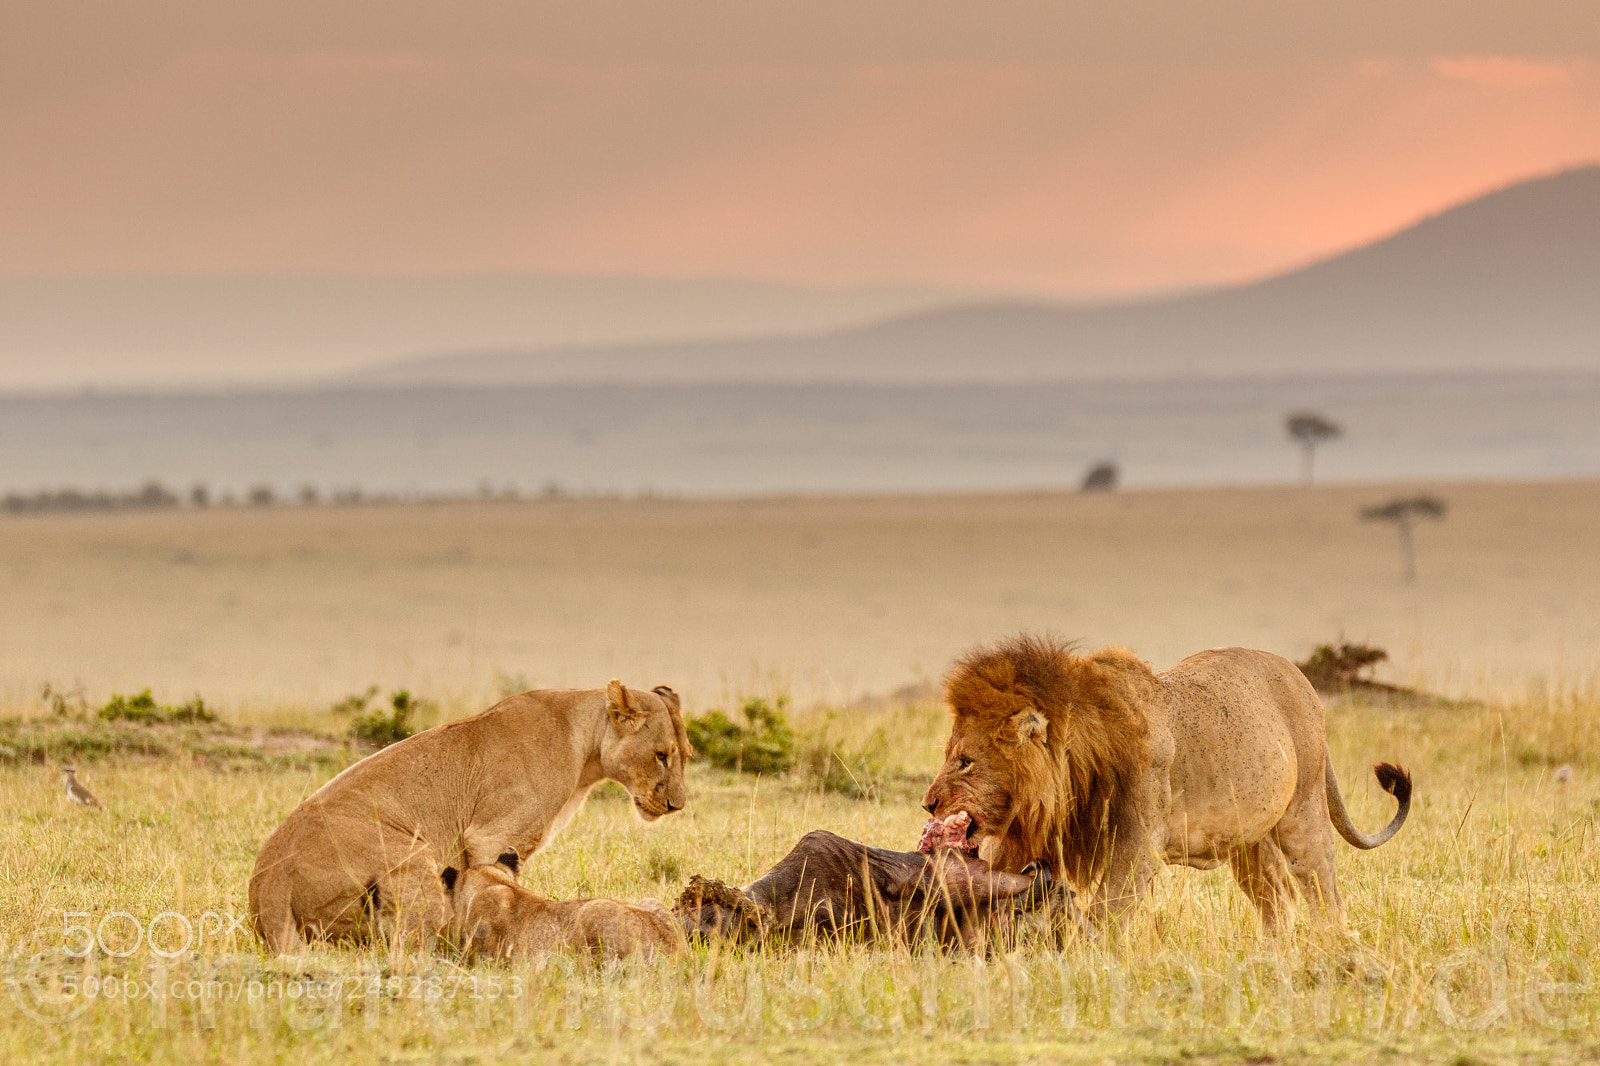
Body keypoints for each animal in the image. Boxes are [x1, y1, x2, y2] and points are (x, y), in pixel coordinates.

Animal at [921, 636, 1411, 932]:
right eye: (949, 756)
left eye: (964, 762)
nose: (928, 804)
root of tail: (1298, 674)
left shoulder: (1135, 848)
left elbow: (1108, 914)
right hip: (1249, 842)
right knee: (1277, 900)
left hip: (1302, 809)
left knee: (1321, 886)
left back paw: (1333, 952)